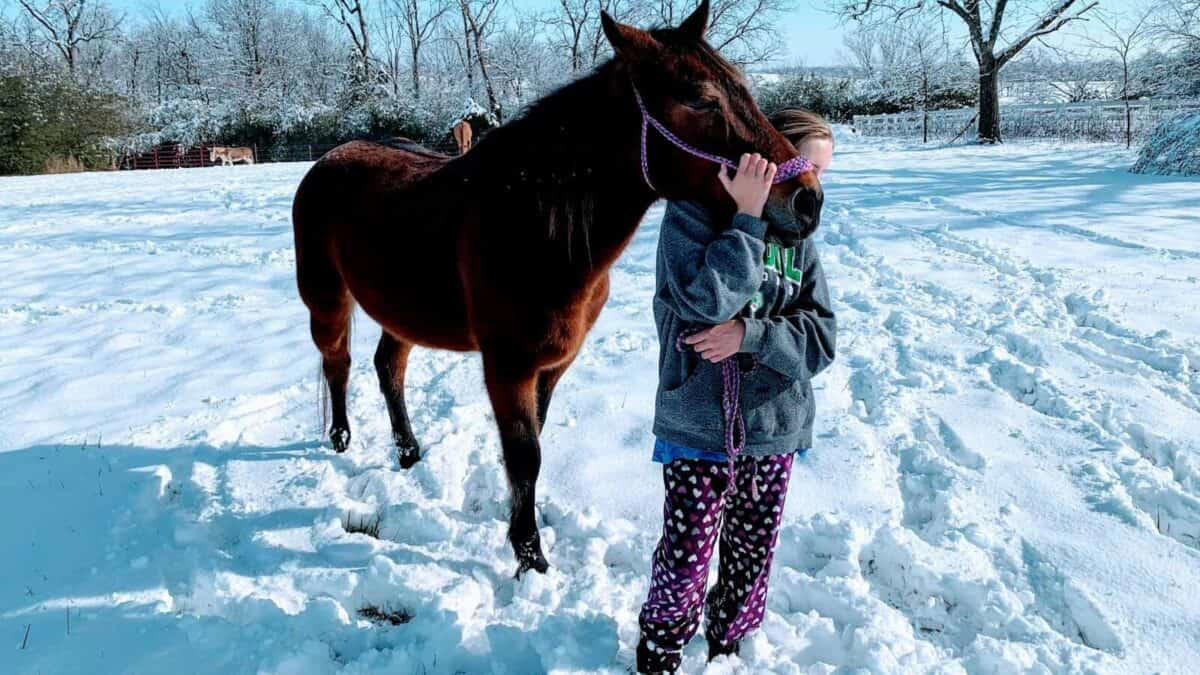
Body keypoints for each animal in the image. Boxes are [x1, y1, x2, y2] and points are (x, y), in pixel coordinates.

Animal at [290, 0, 823, 576]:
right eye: (701, 99)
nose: (807, 200)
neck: (532, 228)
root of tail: (330, 158)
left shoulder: (552, 365)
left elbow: (534, 443)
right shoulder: (508, 366)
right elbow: (525, 454)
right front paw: (530, 555)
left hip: (403, 310)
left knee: (389, 367)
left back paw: (409, 453)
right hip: (326, 299)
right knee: (338, 362)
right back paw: (341, 438)